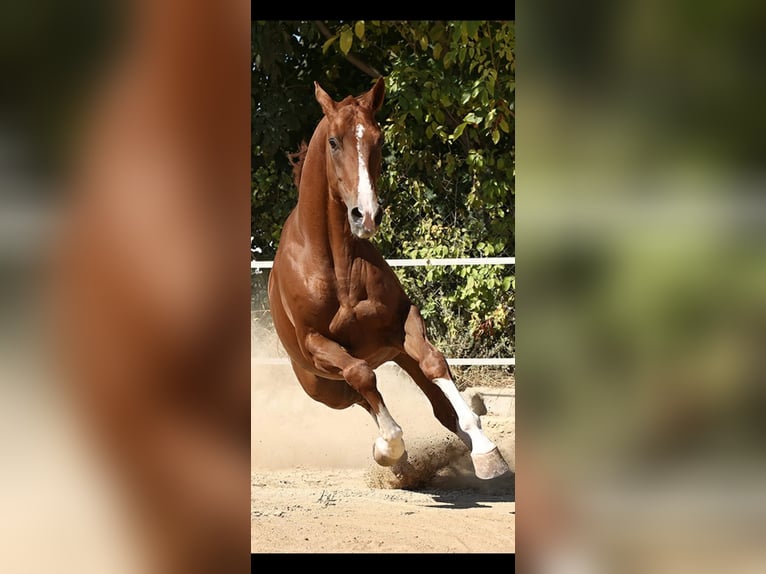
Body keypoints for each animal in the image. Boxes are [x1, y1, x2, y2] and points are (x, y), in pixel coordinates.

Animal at [268, 77, 512, 482]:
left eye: (378, 139)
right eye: (333, 141)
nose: (365, 214)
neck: (337, 265)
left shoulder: (402, 322)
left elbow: (434, 363)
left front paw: (485, 450)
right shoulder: (316, 343)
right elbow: (362, 375)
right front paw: (389, 447)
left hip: (394, 353)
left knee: (433, 405)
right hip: (322, 385)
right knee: (358, 392)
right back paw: (390, 454)